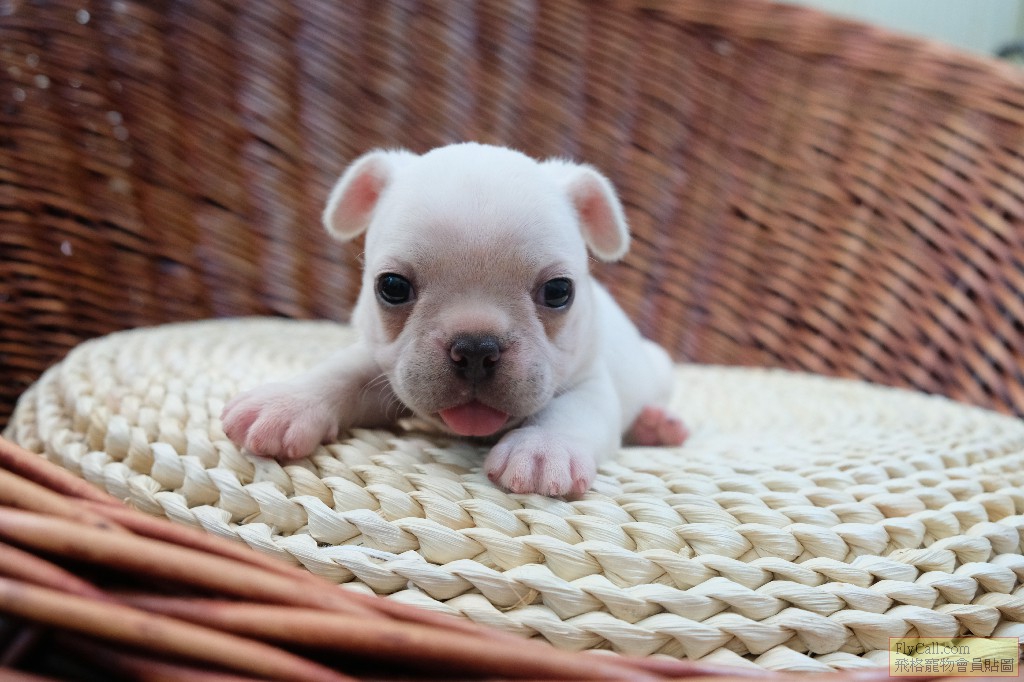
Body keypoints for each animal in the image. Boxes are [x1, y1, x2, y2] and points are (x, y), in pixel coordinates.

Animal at [221, 143, 687, 497]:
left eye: (558, 291)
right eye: (392, 287)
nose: (477, 348)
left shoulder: (591, 382)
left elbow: (570, 411)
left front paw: (542, 449)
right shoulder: (382, 364)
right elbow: (344, 370)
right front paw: (288, 401)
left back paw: (658, 424)